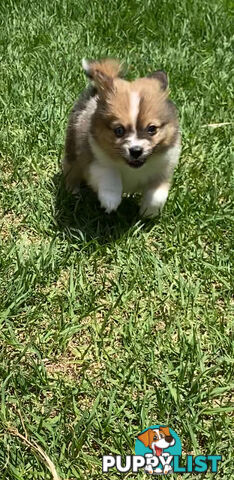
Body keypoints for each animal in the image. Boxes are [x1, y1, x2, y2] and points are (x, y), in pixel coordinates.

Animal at [62, 58, 181, 218]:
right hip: (73, 149)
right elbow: (110, 176)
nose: (136, 151)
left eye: (152, 129)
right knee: (72, 170)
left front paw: (149, 211)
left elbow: (157, 194)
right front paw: (110, 201)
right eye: (119, 130)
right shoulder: (94, 160)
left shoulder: (164, 168)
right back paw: (73, 193)